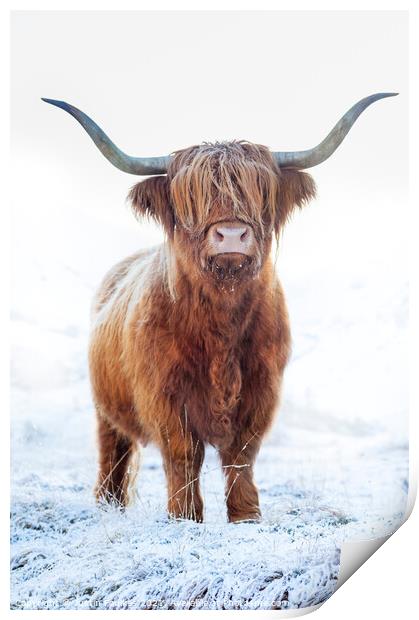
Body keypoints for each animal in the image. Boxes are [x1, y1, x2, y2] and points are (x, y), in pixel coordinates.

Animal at [42, 92, 398, 520]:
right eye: (191, 196)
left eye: (259, 191)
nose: (230, 234)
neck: (222, 325)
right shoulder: (164, 394)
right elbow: (183, 454)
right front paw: (184, 516)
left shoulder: (261, 387)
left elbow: (242, 453)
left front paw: (246, 515)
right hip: (104, 408)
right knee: (112, 451)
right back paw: (108, 505)